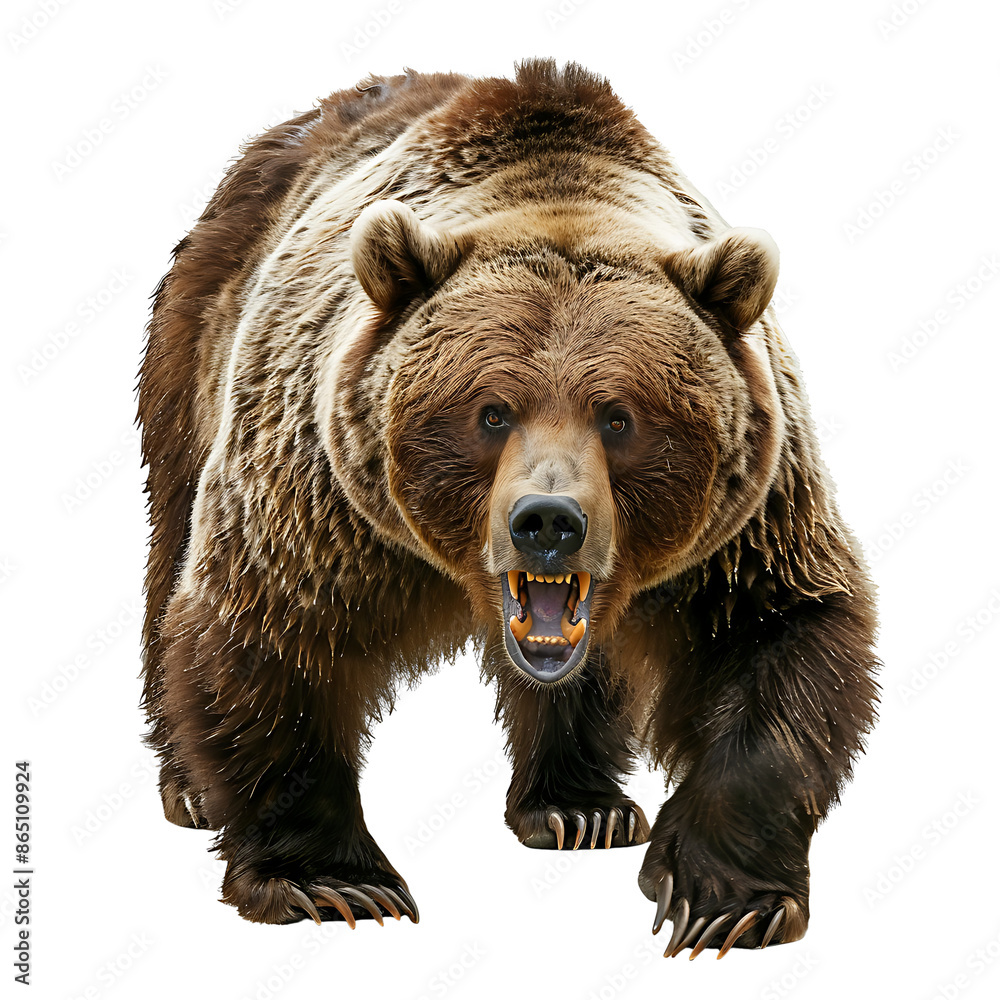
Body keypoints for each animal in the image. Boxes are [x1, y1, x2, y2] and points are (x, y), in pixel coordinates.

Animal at [138, 59, 879, 956]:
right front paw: (331, 880)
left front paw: (726, 898)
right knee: (171, 540)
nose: (548, 523)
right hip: (196, 347)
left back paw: (580, 807)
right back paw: (186, 786)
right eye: (491, 412)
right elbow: (272, 629)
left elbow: (779, 638)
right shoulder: (325, 496)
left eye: (620, 417)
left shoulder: (747, 522)